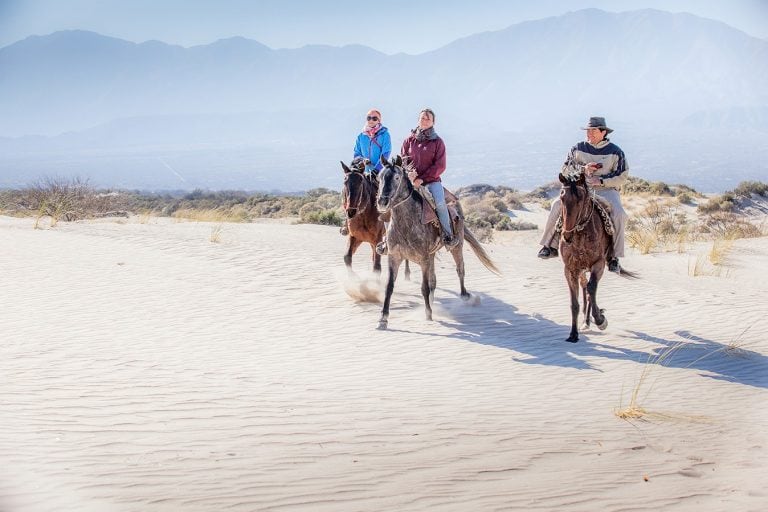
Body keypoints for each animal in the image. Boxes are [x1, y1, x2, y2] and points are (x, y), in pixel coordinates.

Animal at [560, 172, 636, 344]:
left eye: (581, 198)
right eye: (561, 197)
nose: (567, 235)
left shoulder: (598, 264)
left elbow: (592, 289)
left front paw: (601, 319)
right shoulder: (570, 269)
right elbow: (574, 303)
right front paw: (573, 334)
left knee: (589, 289)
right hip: (581, 270)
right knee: (584, 287)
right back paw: (585, 322)